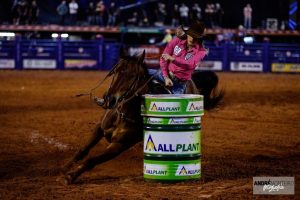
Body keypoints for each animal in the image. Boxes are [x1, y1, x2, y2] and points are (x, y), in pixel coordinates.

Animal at [62, 50, 224, 184]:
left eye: (132, 76)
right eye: (114, 72)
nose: (109, 99)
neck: (124, 114)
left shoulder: (119, 145)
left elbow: (92, 160)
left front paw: (71, 175)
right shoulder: (99, 128)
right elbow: (83, 150)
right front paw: (65, 167)